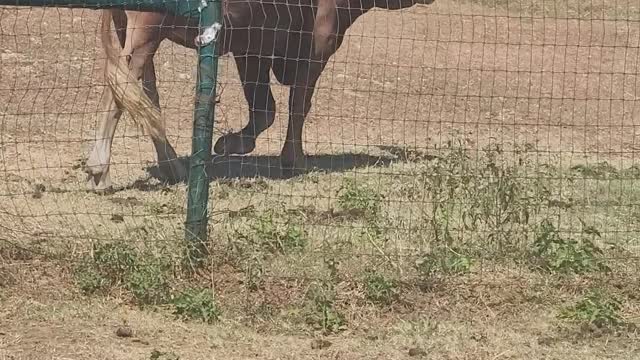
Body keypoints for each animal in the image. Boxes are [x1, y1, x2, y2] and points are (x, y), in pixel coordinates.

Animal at [86, 0, 436, 191]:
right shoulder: (318, 43)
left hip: (135, 32)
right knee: (117, 94)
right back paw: (99, 168)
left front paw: (230, 143)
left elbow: (264, 108)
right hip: (146, 32)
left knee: (144, 96)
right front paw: (295, 161)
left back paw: (174, 168)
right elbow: (298, 104)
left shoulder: (253, 45)